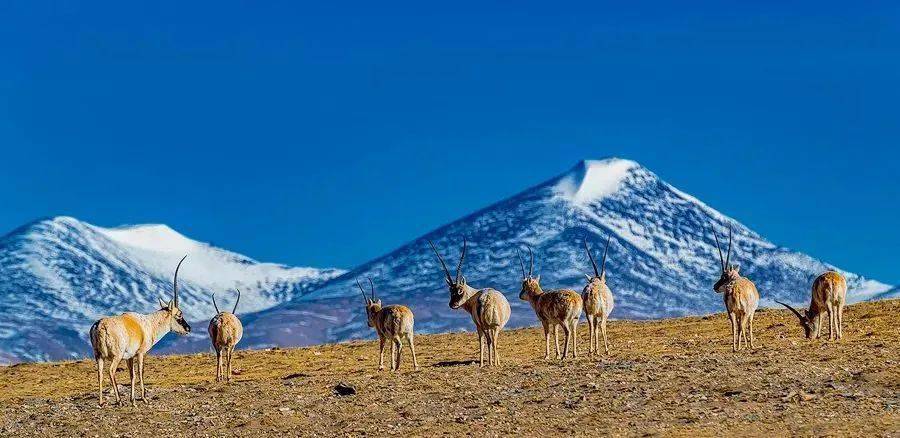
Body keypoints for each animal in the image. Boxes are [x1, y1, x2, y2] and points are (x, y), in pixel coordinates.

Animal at [88, 255, 192, 406]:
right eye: (179, 315)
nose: (188, 328)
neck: (148, 324)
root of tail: (100, 326)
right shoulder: (140, 353)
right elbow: (140, 372)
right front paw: (143, 398)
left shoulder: (129, 356)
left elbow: (132, 375)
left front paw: (133, 400)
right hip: (116, 356)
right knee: (111, 371)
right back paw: (119, 400)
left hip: (98, 356)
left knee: (100, 373)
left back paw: (101, 402)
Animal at [430, 238, 512, 368]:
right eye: (451, 290)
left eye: (460, 290)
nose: (452, 305)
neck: (474, 295)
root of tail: (484, 300)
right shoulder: (491, 326)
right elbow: (490, 341)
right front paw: (495, 362)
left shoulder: (483, 326)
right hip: (491, 326)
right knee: (491, 341)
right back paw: (492, 364)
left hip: (485, 326)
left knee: (487, 340)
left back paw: (485, 364)